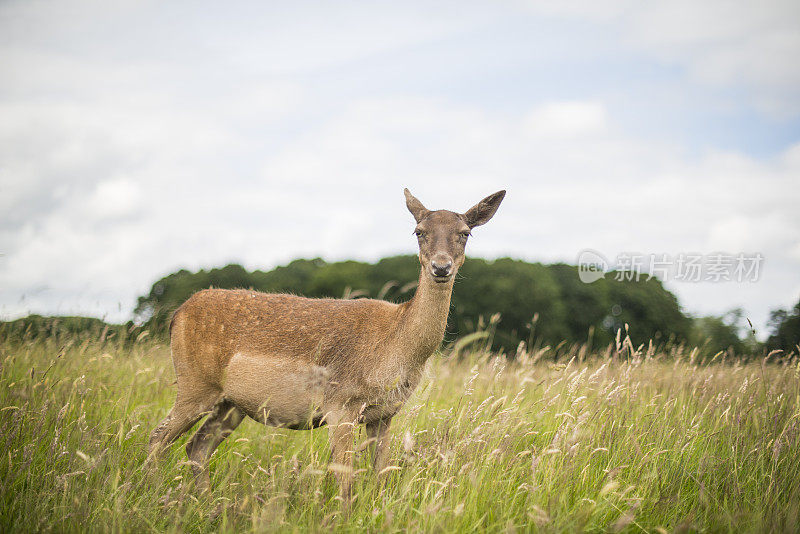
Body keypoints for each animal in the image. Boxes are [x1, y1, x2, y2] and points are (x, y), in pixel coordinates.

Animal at [150, 188, 506, 506]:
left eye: (465, 233)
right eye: (419, 231)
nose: (441, 267)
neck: (398, 348)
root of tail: (177, 315)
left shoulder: (385, 414)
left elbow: (381, 475)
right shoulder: (341, 403)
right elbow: (345, 480)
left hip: (230, 404)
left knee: (196, 447)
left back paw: (207, 506)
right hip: (195, 383)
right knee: (158, 438)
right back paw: (150, 495)